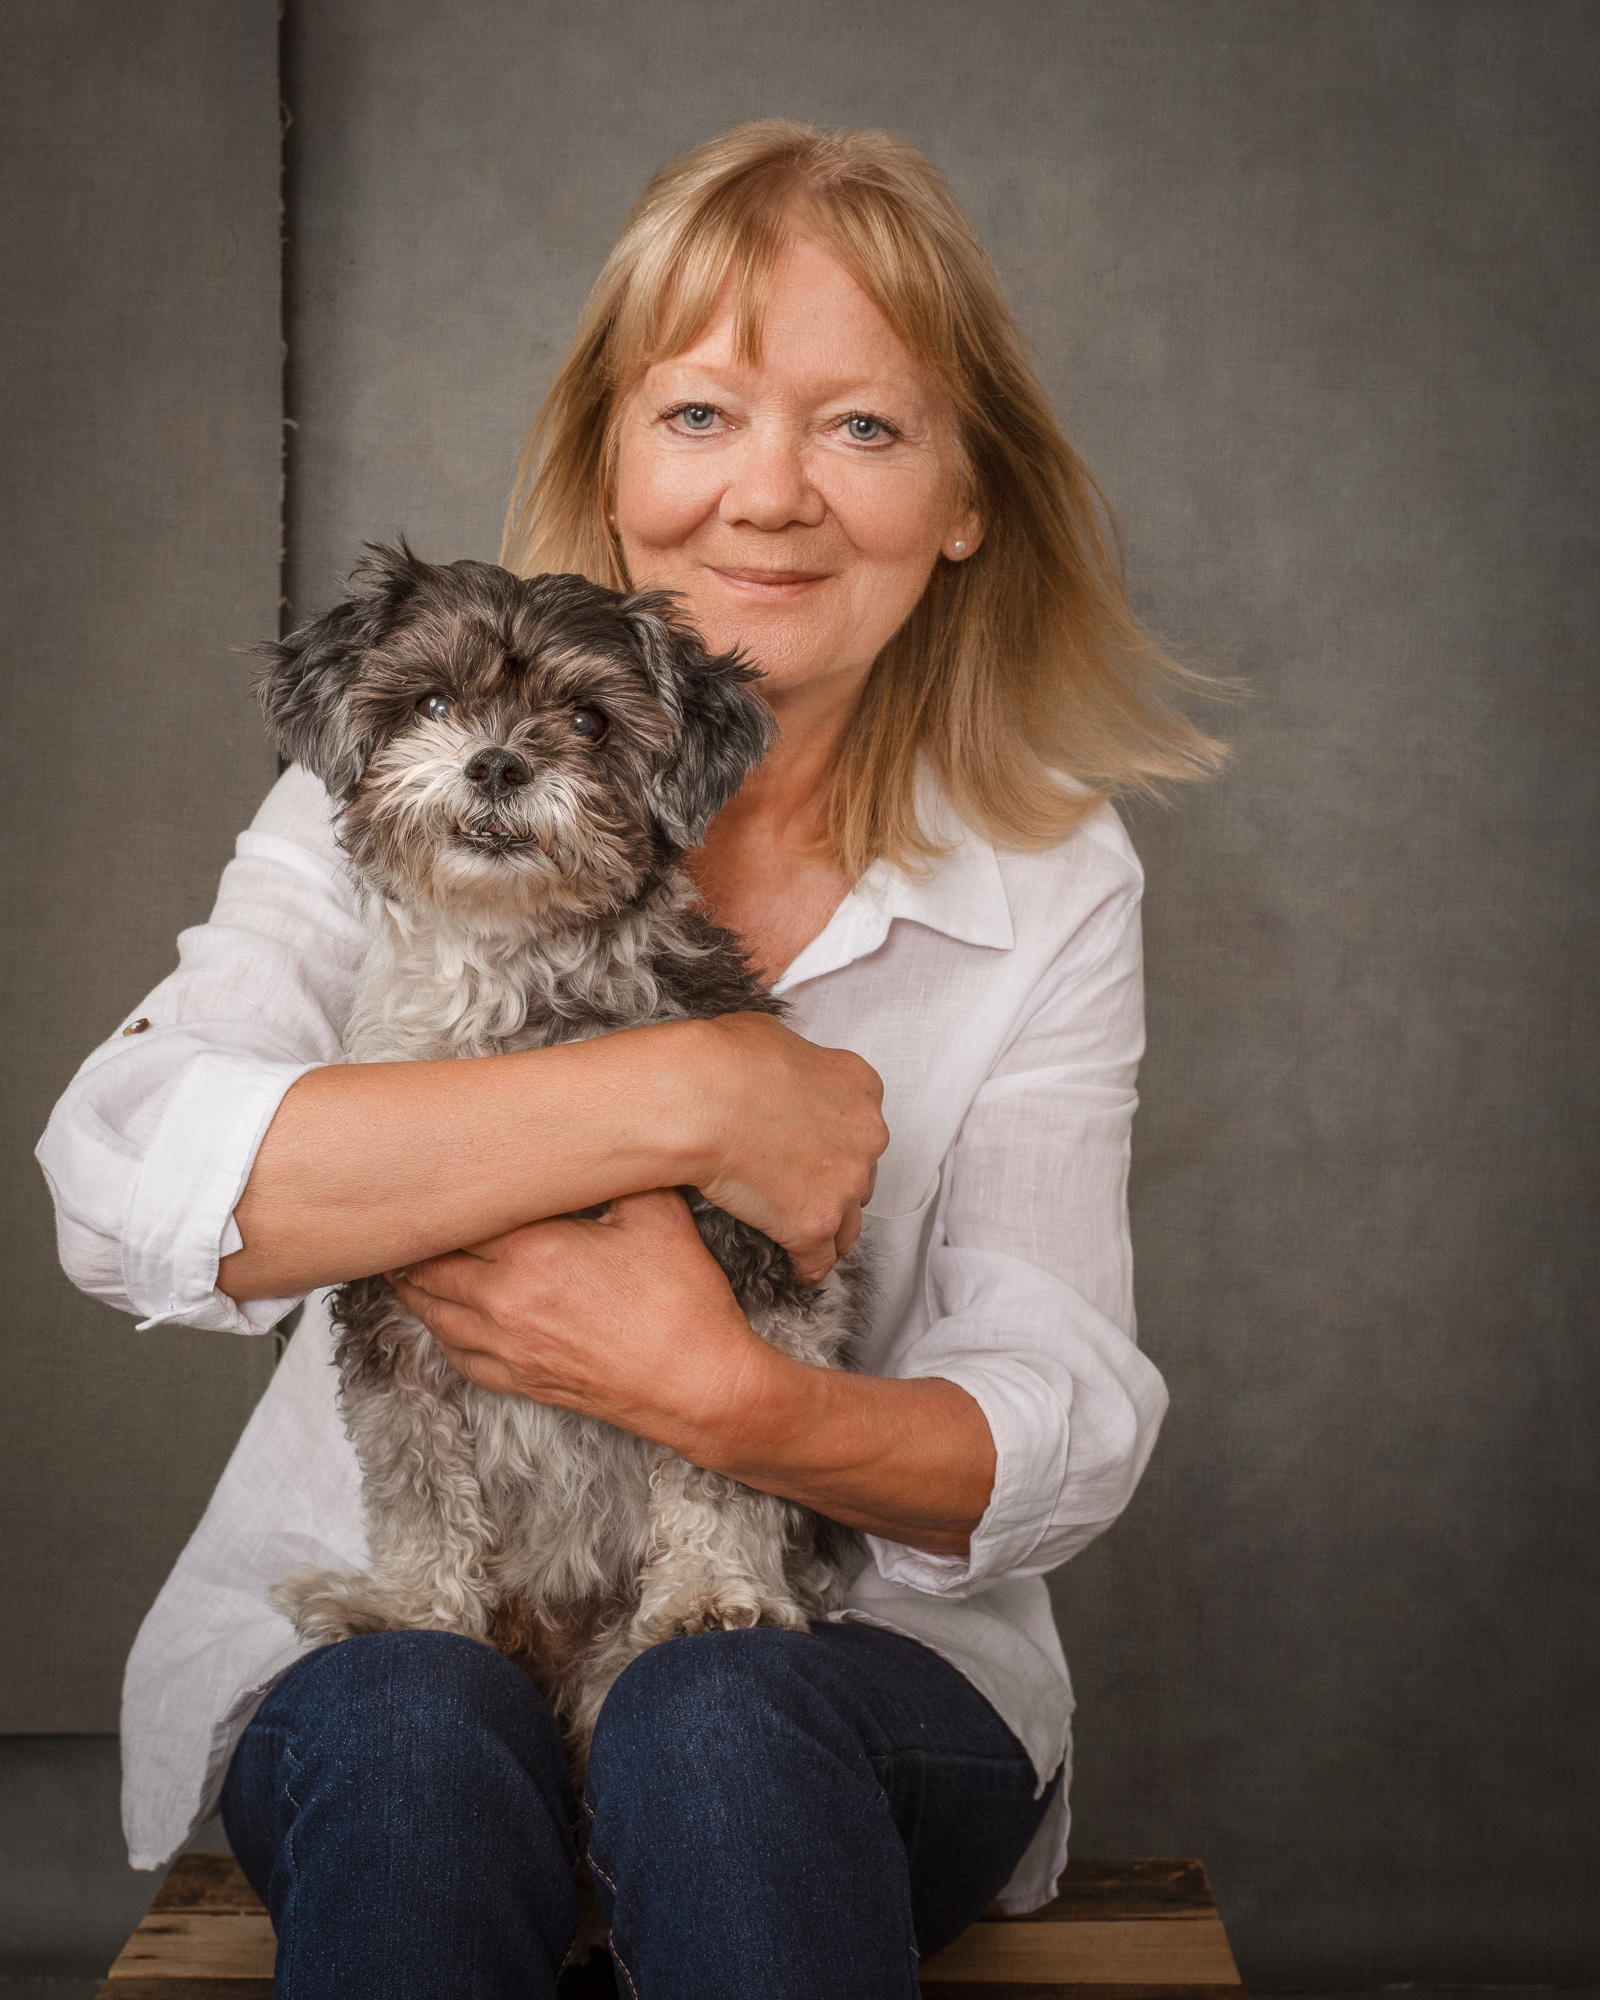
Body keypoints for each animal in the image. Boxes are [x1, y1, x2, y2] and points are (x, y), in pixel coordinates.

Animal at [258, 548, 868, 1768]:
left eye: (587, 719)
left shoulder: (756, 1273)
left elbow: (723, 1456)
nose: (498, 760)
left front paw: (707, 1594)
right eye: (432, 702)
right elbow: (415, 1477)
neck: (517, 990)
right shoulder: (393, 1303)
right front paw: (411, 1606)